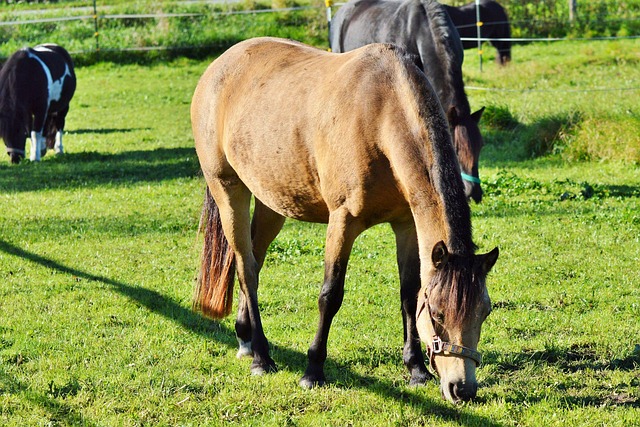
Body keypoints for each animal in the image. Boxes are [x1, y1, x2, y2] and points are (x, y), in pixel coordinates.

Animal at [190, 37, 500, 404]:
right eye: (438, 314)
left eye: (484, 312)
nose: (461, 389)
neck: (381, 115)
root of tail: (219, 66)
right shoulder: (343, 221)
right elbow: (330, 294)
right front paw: (313, 370)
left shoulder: (407, 225)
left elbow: (408, 293)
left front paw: (415, 369)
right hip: (228, 189)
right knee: (246, 267)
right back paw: (262, 357)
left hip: (271, 202)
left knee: (256, 258)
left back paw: (245, 338)